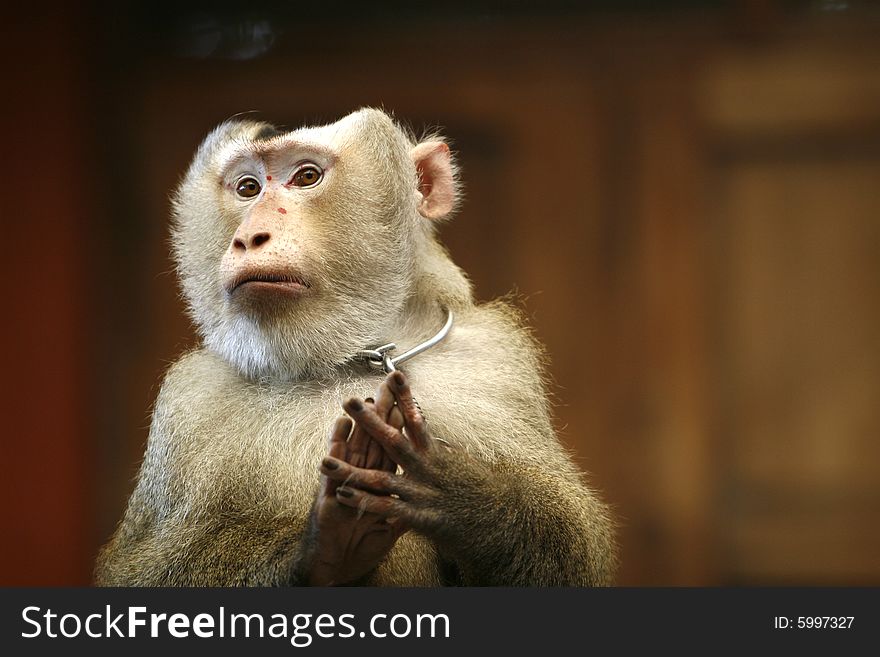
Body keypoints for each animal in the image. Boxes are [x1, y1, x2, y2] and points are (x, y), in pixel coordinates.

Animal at [94, 106, 620, 584]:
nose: (249, 237)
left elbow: (571, 554)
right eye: (247, 188)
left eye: (307, 176)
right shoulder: (189, 401)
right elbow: (143, 569)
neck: (346, 359)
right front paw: (327, 545)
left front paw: (464, 498)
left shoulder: (496, 363)